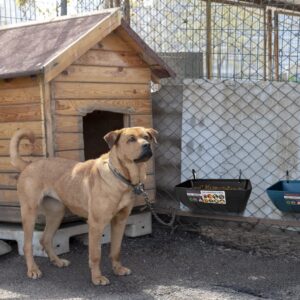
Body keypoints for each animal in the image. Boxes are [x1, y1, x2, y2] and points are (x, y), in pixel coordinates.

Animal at [9, 126, 157, 286]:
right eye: (131, 139)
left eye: (146, 137)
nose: (146, 146)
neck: (121, 176)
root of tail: (29, 164)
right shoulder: (96, 224)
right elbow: (96, 254)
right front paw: (97, 277)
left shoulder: (120, 221)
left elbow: (116, 250)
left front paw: (118, 269)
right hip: (29, 213)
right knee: (27, 245)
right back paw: (33, 270)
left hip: (57, 213)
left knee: (45, 239)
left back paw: (57, 261)